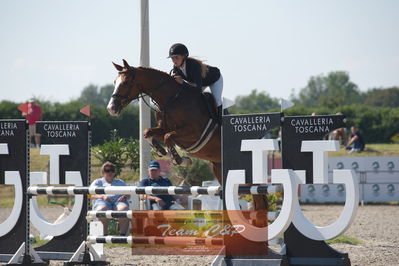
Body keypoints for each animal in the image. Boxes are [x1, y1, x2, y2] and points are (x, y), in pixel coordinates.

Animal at [106, 58, 268, 210]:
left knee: (258, 196)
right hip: (219, 167)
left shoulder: (194, 134)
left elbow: (169, 137)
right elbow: (149, 132)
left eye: (126, 82)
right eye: (114, 82)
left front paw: (180, 160)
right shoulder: (164, 128)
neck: (172, 99)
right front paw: (161, 150)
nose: (111, 108)